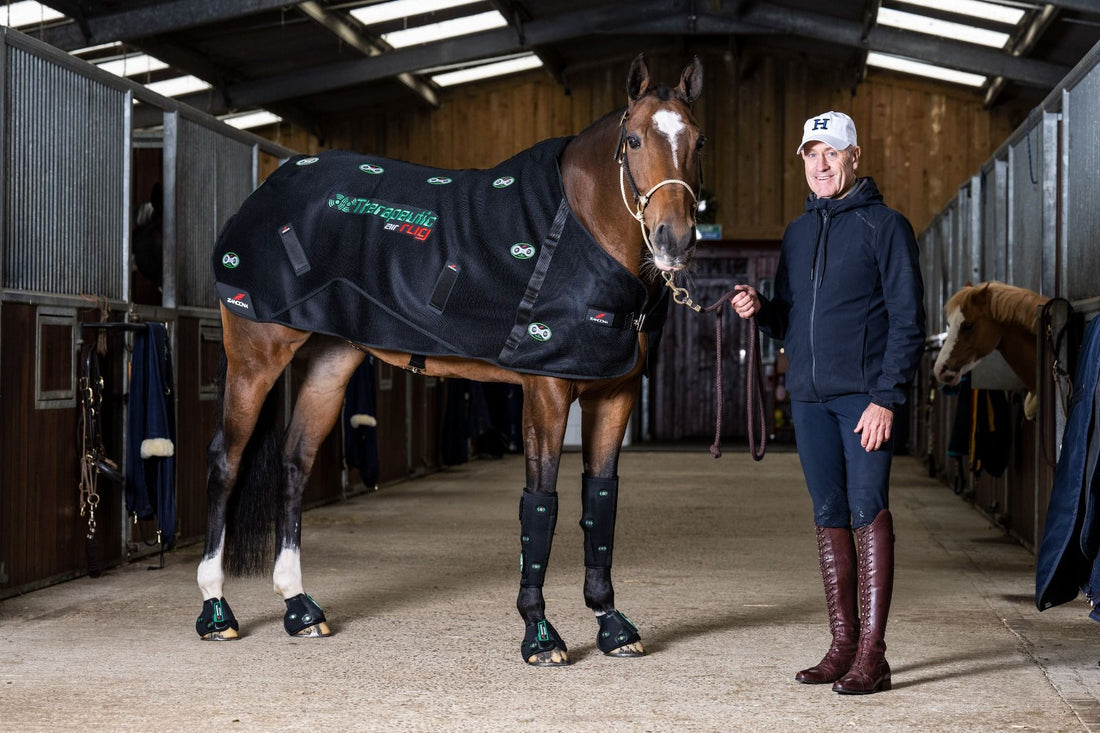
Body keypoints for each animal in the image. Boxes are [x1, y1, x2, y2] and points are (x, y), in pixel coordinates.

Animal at [195, 53, 705, 667]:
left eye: (698, 140)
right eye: (633, 140)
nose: (674, 239)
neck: (579, 228)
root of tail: (272, 184)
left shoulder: (614, 394)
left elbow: (599, 503)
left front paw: (612, 625)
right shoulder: (547, 392)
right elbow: (542, 504)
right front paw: (540, 635)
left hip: (330, 363)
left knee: (294, 464)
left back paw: (300, 609)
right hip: (255, 356)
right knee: (225, 463)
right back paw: (216, 612)